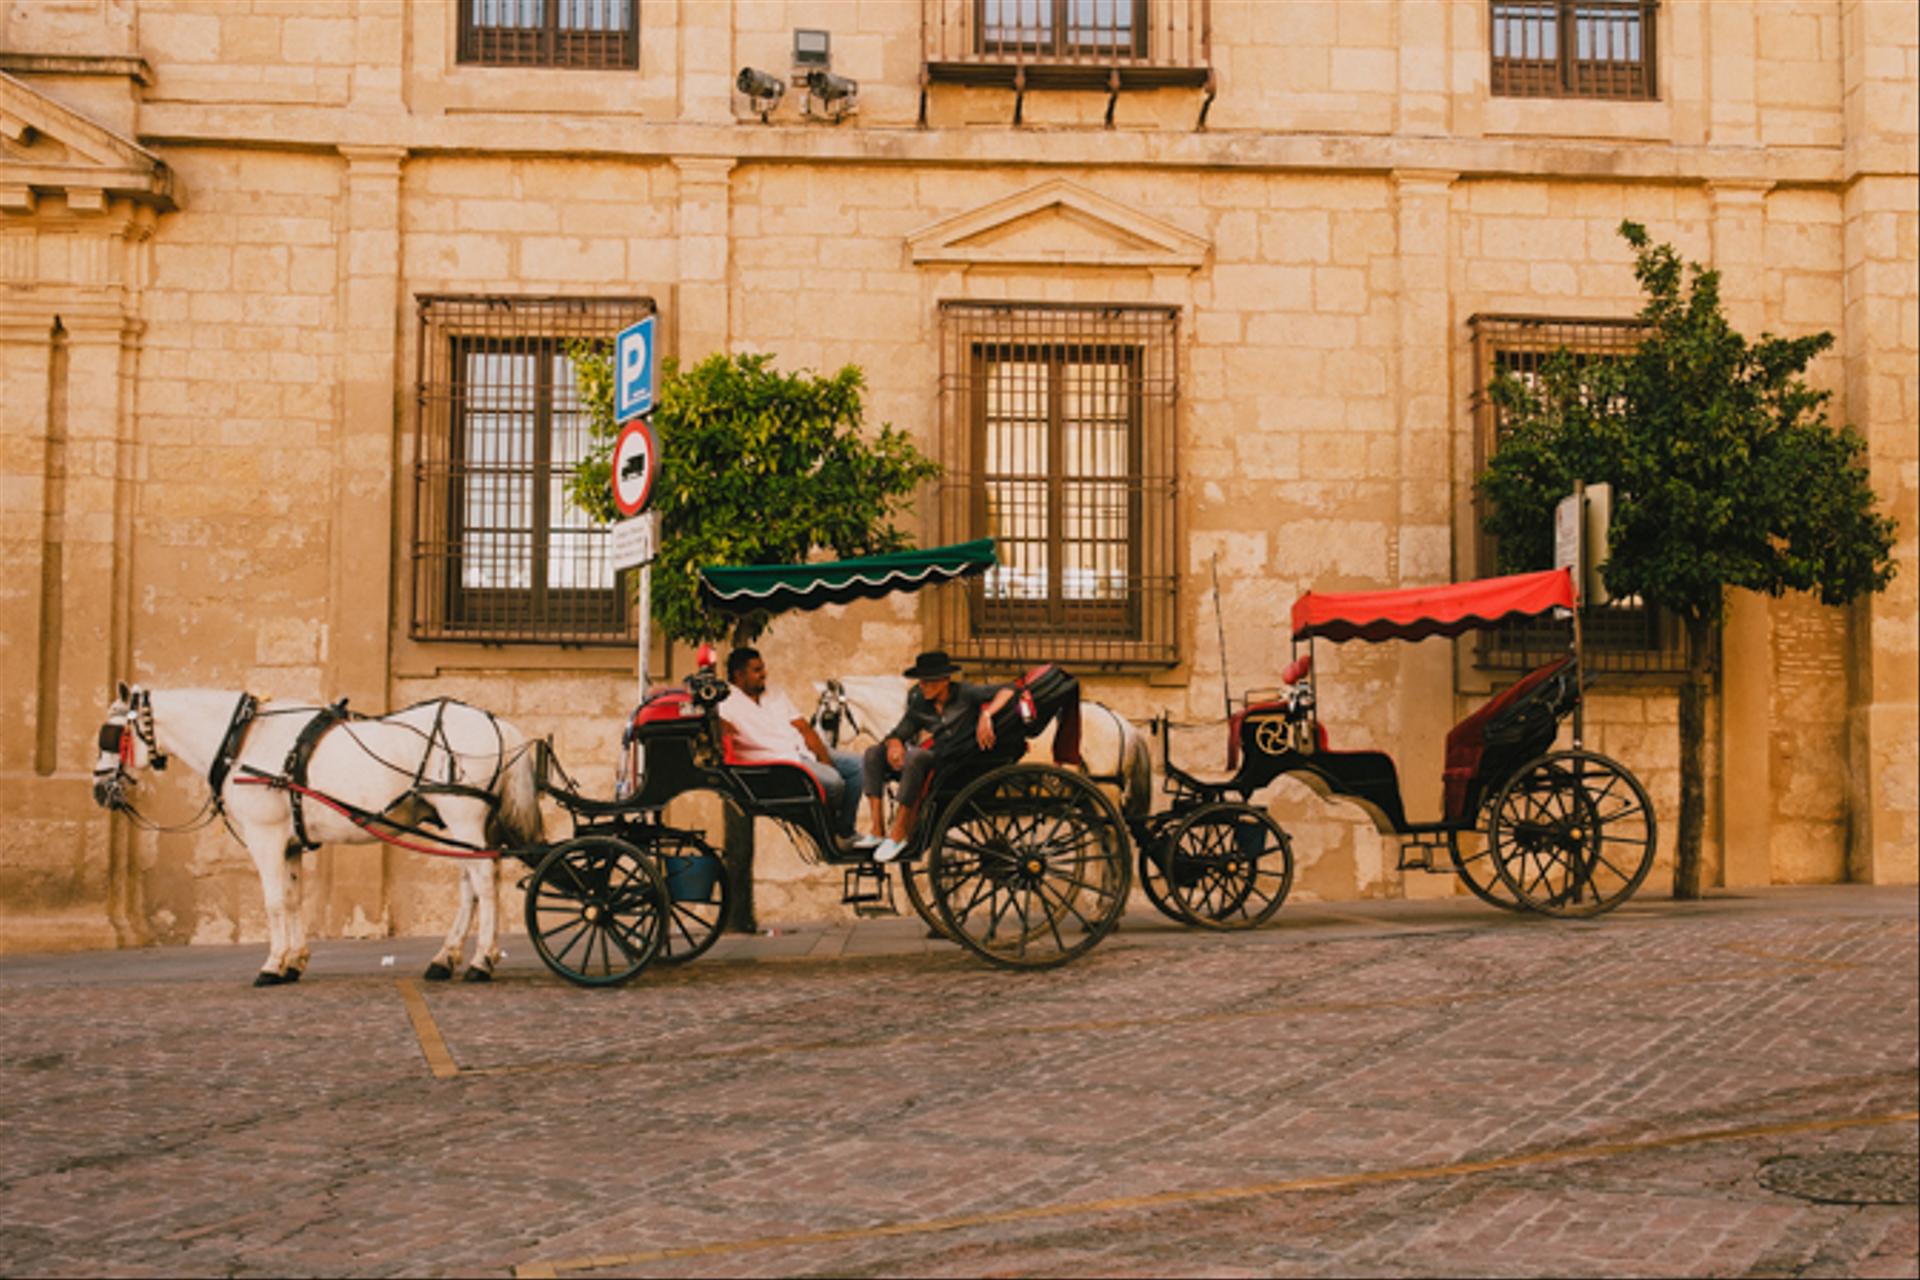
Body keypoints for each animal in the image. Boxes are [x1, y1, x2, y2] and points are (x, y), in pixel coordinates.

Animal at [91, 687, 541, 990]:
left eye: (110, 735)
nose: (99, 789)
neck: (243, 741)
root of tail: (498, 724)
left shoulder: (266, 839)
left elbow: (274, 902)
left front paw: (272, 964)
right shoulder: (288, 843)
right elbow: (292, 900)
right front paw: (294, 962)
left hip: (462, 817)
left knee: (485, 883)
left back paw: (482, 961)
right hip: (465, 826)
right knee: (472, 886)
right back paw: (445, 959)